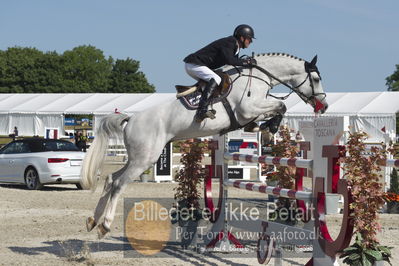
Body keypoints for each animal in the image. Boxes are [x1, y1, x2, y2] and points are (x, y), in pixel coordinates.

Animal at [80, 52, 328, 237]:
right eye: (316, 79)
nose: (323, 106)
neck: (259, 76)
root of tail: (130, 120)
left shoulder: (251, 113)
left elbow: (271, 113)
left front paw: (264, 129)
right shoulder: (248, 108)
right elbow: (280, 106)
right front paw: (270, 127)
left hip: (137, 158)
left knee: (110, 179)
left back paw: (92, 220)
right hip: (145, 159)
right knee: (119, 183)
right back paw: (105, 225)